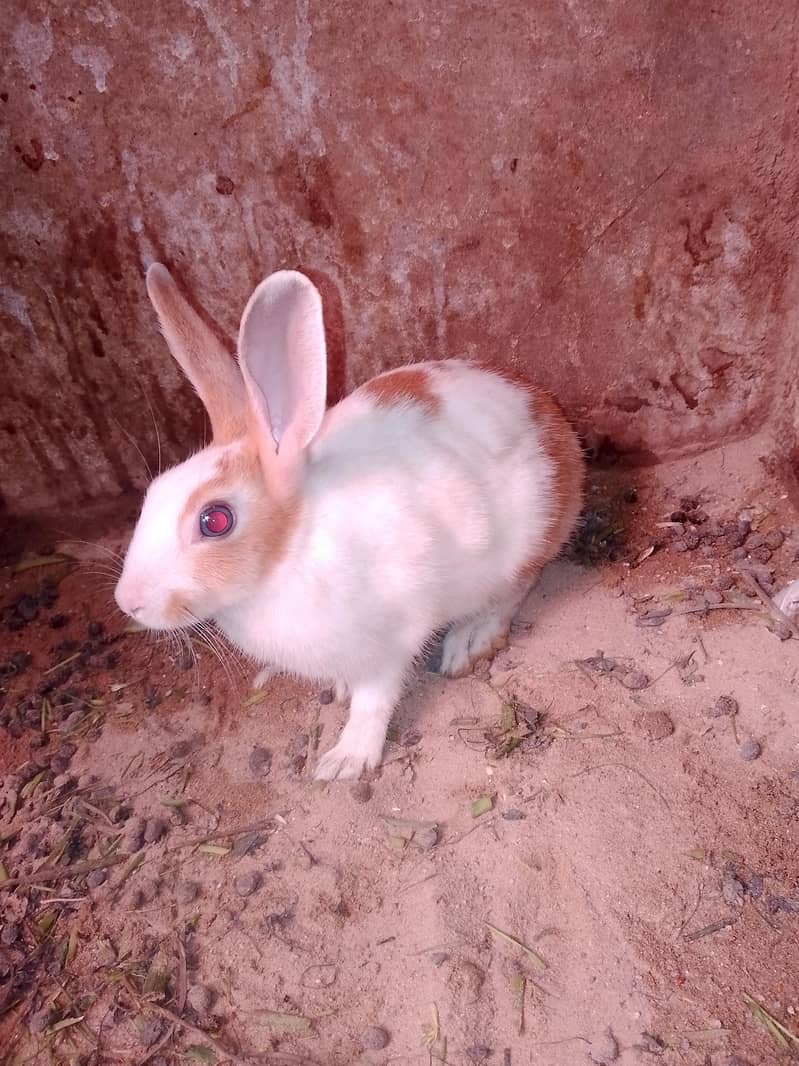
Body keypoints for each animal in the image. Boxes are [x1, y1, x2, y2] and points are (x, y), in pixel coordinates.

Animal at [115, 264, 584, 780]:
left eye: (215, 520)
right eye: (152, 494)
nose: (128, 602)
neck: (290, 550)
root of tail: (553, 420)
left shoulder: (389, 642)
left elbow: (373, 701)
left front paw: (345, 762)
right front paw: (339, 695)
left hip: (526, 542)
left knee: (513, 594)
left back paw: (468, 642)